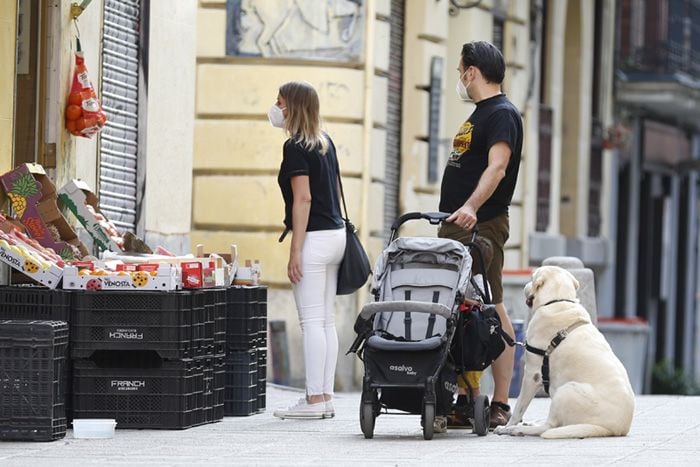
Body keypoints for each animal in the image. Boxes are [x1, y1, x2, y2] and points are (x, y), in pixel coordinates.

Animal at [494, 266, 636, 438]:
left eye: (532, 278)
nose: (525, 286)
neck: (558, 301)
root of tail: (615, 429)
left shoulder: (532, 375)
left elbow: (519, 407)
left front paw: (507, 426)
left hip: (565, 391)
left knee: (548, 427)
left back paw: (518, 429)